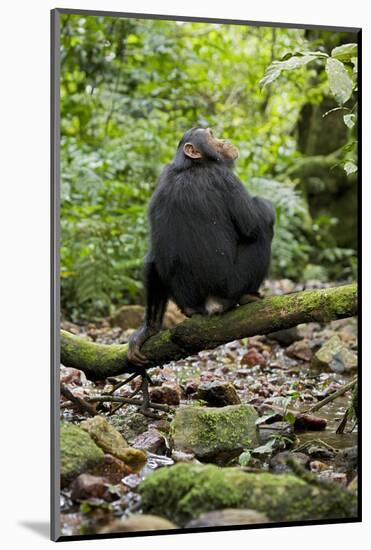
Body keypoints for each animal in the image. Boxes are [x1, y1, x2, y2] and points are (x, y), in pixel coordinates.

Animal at [128, 126, 276, 364]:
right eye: (211, 135)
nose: (223, 140)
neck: (191, 165)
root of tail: (208, 303)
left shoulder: (162, 179)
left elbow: (152, 254)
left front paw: (147, 330)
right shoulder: (225, 178)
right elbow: (253, 223)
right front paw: (264, 207)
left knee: (153, 261)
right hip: (232, 284)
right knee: (261, 232)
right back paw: (248, 296)